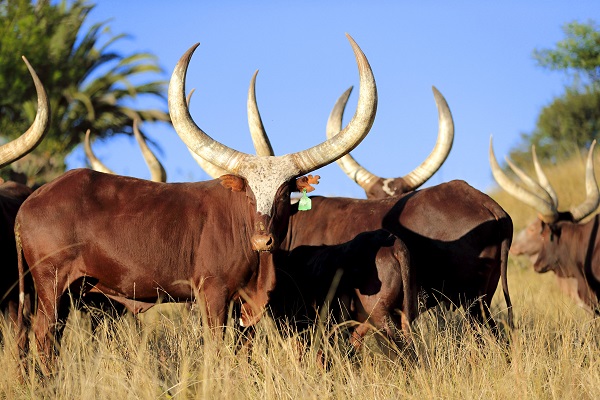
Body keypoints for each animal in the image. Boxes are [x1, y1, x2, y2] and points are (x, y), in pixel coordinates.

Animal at [16, 34, 378, 368]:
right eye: (248, 193)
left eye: (284, 191)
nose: (262, 240)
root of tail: (31, 201)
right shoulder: (213, 294)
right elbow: (216, 349)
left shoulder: (244, 305)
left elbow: (242, 353)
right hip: (51, 285)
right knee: (44, 336)